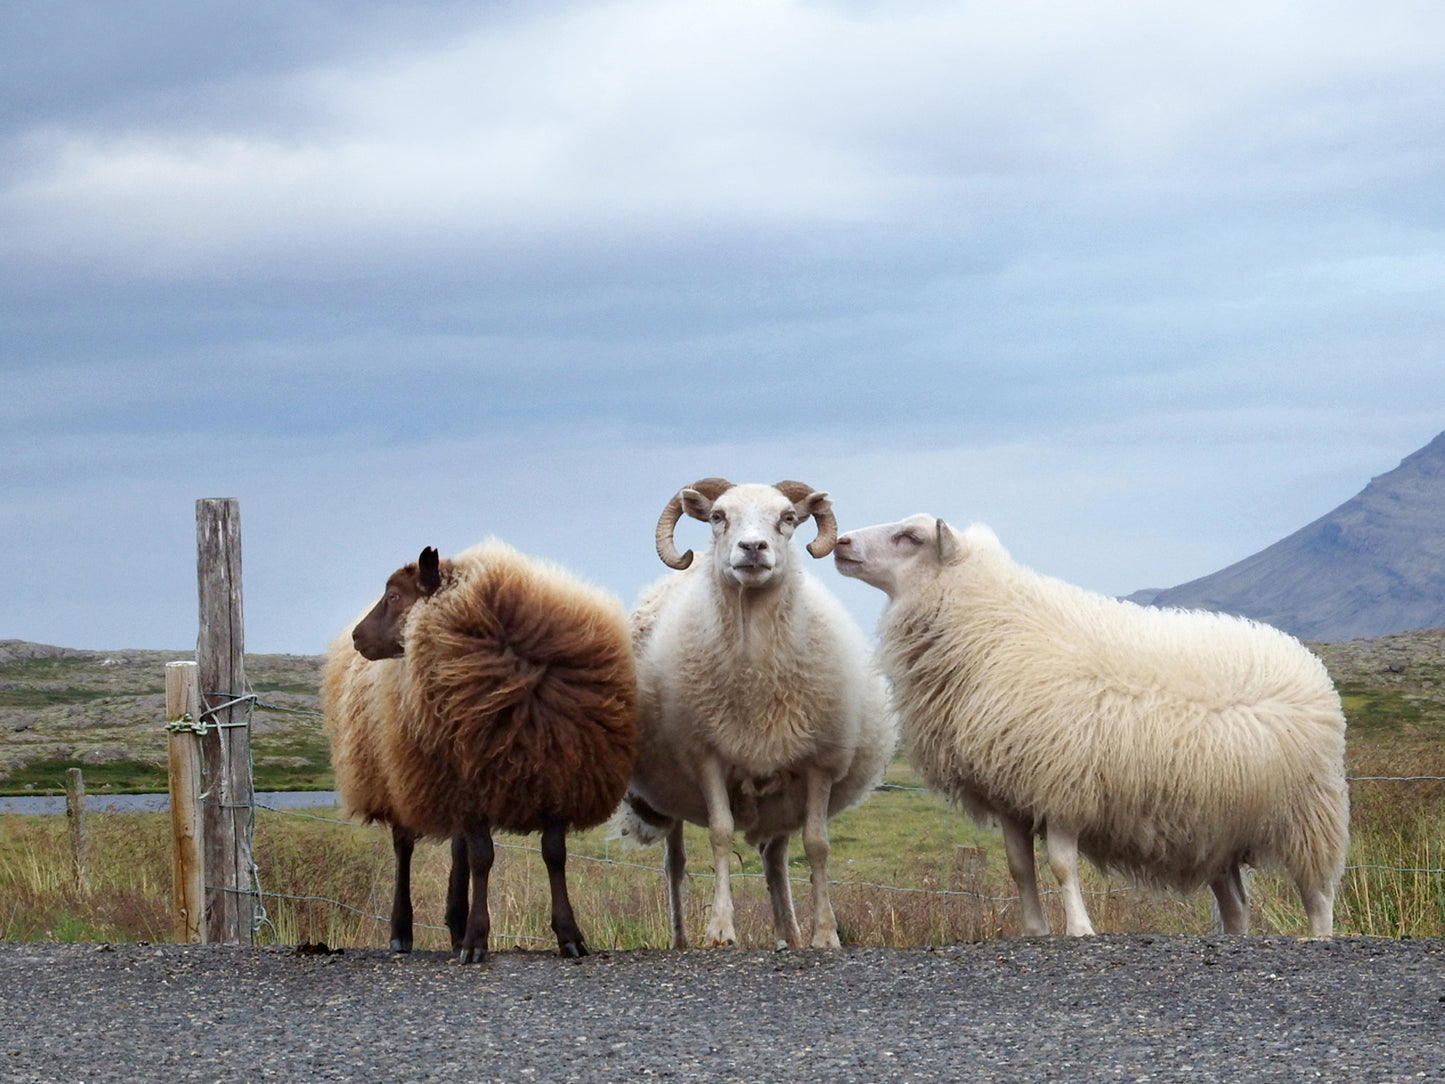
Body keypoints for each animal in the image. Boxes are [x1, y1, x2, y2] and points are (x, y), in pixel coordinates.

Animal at [322, 540, 638, 959]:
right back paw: (402, 932)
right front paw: (476, 940)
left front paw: (569, 935)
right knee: (404, 847)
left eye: (394, 596)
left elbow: (553, 854)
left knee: (459, 851)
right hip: (398, 773)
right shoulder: (466, 781)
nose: (359, 637)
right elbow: (484, 857)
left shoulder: (556, 774)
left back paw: (455, 923)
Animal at [615, 482, 895, 948]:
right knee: (675, 863)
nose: (752, 548)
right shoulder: (707, 755)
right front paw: (720, 929)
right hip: (671, 792)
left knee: (775, 858)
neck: (756, 669)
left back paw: (790, 934)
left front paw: (825, 934)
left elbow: (817, 844)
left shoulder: (818, 763)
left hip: (782, 793)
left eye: (787, 518)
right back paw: (681, 939)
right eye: (718, 517)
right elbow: (720, 833)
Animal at [832, 514, 1346, 936]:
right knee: (1237, 902)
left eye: (911, 537)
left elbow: (1061, 865)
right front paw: (1035, 930)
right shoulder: (1010, 790)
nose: (841, 542)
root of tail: (1304, 659)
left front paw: (1080, 928)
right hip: (1219, 827)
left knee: (1319, 891)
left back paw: (1319, 936)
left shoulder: (1061, 782)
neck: (992, 628)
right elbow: (1019, 867)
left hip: (1308, 811)